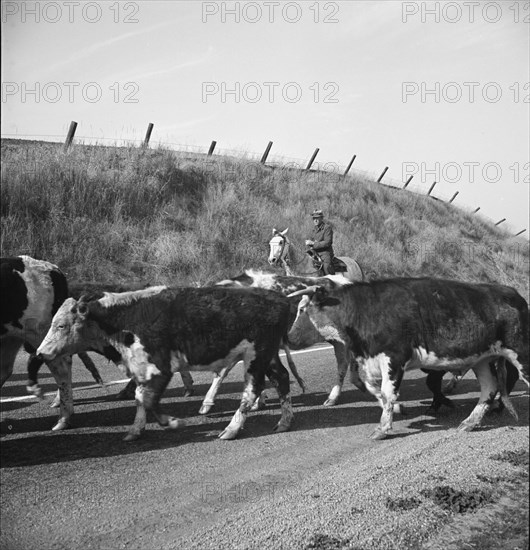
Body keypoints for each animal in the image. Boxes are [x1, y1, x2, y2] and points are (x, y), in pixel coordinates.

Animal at [37, 286, 292, 442]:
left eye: (61, 325)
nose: (40, 353)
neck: (125, 319)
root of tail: (279, 299)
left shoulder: (160, 368)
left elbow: (148, 399)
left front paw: (171, 421)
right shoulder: (142, 370)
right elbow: (140, 398)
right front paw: (135, 430)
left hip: (256, 357)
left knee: (252, 391)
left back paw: (231, 429)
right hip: (268, 357)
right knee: (282, 379)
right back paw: (284, 422)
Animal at [288, 278, 528, 442]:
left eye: (302, 309)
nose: (288, 338)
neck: (365, 311)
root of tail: (511, 291)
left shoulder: (394, 357)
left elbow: (387, 392)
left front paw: (383, 428)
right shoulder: (371, 359)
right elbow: (370, 386)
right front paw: (395, 408)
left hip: (520, 352)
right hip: (483, 359)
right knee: (489, 387)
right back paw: (470, 422)